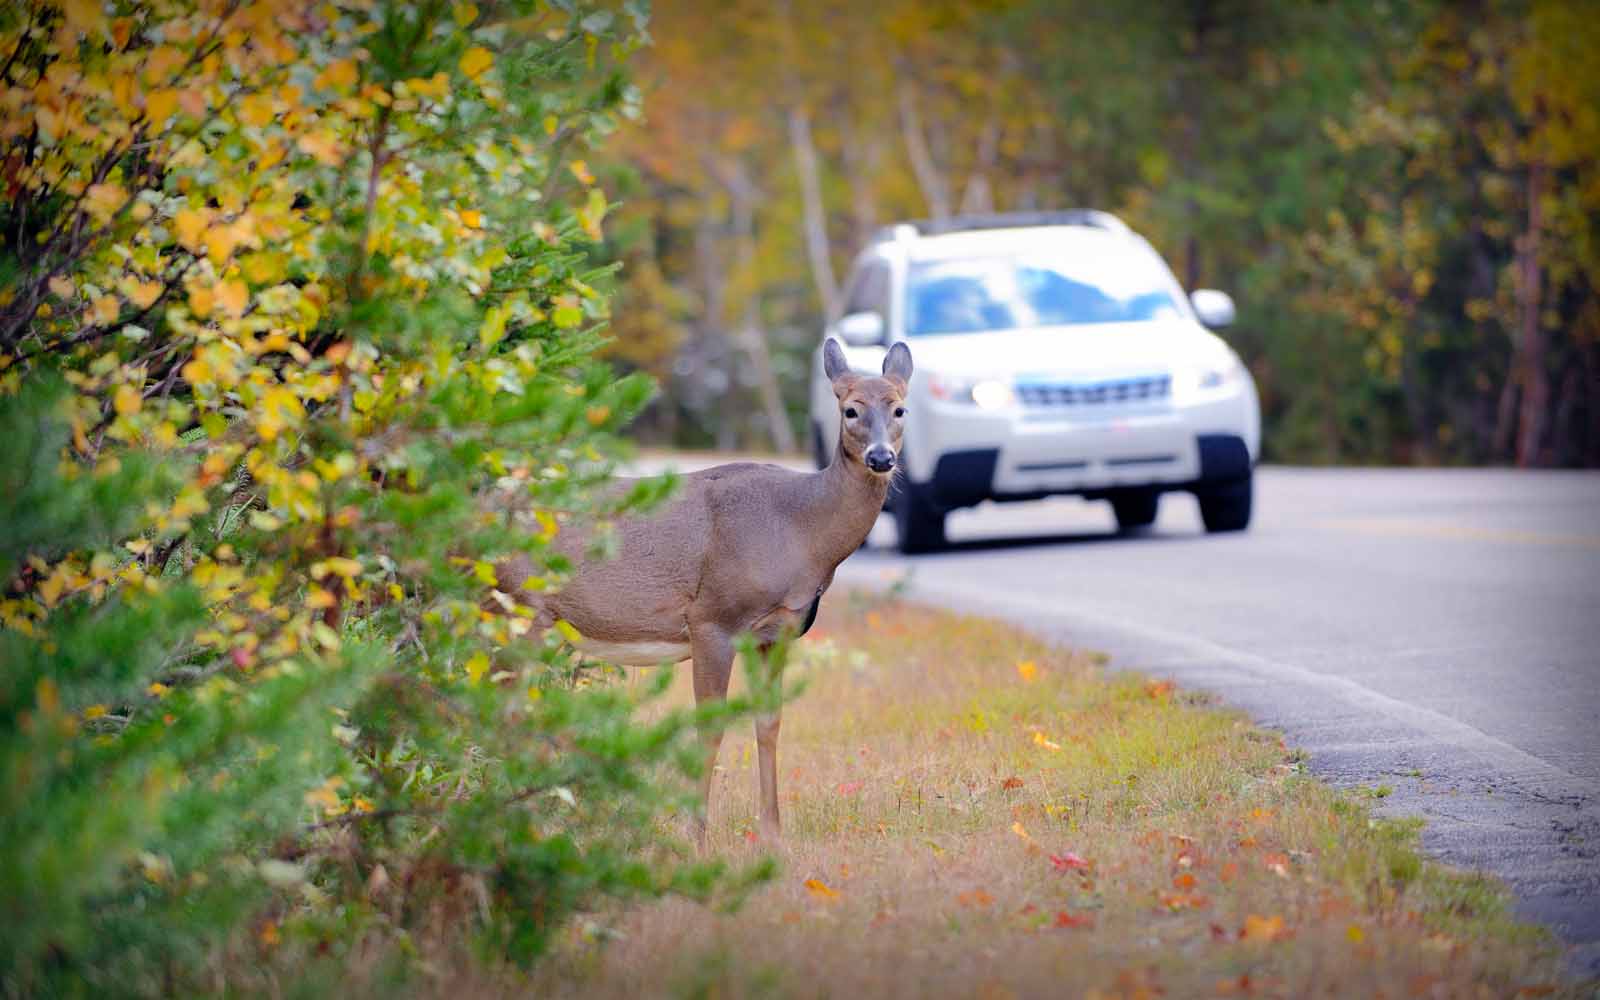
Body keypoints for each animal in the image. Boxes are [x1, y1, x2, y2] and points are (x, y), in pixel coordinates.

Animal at [494, 338, 912, 843]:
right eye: (850, 410)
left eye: (900, 409)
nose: (880, 458)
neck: (800, 528)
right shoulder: (713, 618)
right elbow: (708, 729)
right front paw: (696, 836)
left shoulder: (777, 631)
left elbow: (769, 722)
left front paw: (772, 835)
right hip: (519, 607)